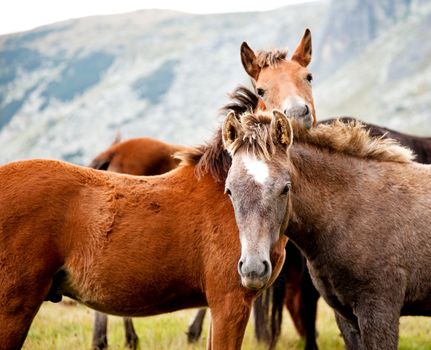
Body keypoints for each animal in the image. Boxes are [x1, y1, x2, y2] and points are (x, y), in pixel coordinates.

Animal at [219, 109, 431, 350]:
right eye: (229, 190)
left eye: (285, 188)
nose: (253, 270)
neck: (351, 213)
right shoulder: (346, 316)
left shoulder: (380, 311)